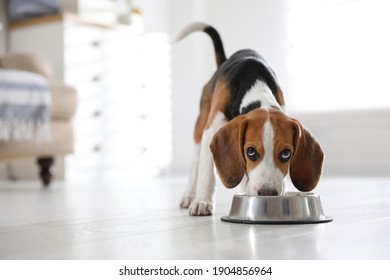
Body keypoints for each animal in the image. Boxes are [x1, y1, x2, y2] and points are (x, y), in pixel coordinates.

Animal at [177, 24, 322, 217]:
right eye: (251, 152)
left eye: (286, 154)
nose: (267, 193)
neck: (255, 85)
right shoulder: (211, 129)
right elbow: (207, 172)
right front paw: (202, 201)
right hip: (200, 128)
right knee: (195, 163)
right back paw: (189, 195)